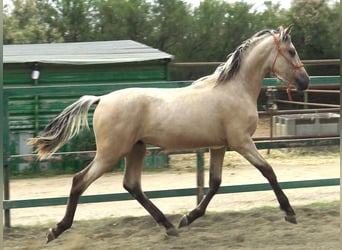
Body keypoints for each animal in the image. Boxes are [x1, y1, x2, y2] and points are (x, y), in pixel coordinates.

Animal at [28, 25, 308, 242]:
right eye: (292, 51)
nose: (305, 81)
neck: (235, 90)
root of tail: (102, 99)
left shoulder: (219, 145)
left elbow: (215, 183)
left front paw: (188, 218)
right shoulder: (241, 142)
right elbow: (268, 171)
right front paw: (289, 212)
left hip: (136, 148)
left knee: (132, 185)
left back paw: (170, 226)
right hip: (110, 153)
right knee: (79, 181)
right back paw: (56, 230)